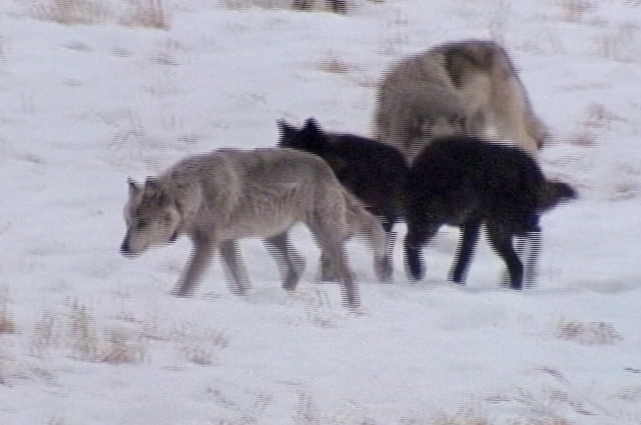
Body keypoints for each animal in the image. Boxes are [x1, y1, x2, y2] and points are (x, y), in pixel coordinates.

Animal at [120, 148, 391, 309]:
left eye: (142, 224)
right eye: (127, 222)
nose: (123, 249)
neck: (195, 194)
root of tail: (327, 169)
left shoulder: (208, 245)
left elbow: (186, 283)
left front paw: (175, 301)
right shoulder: (225, 243)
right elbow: (240, 281)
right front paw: (247, 299)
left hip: (323, 237)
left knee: (346, 273)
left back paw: (352, 309)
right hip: (271, 237)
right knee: (297, 264)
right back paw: (283, 297)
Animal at [404, 136, 576, 289]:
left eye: (427, 218)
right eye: (410, 220)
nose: (414, 243)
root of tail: (534, 170)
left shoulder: (472, 223)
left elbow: (462, 259)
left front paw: (455, 285)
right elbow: (408, 244)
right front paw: (416, 271)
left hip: (510, 226)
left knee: (535, 234)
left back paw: (527, 280)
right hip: (499, 231)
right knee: (517, 264)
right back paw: (512, 288)